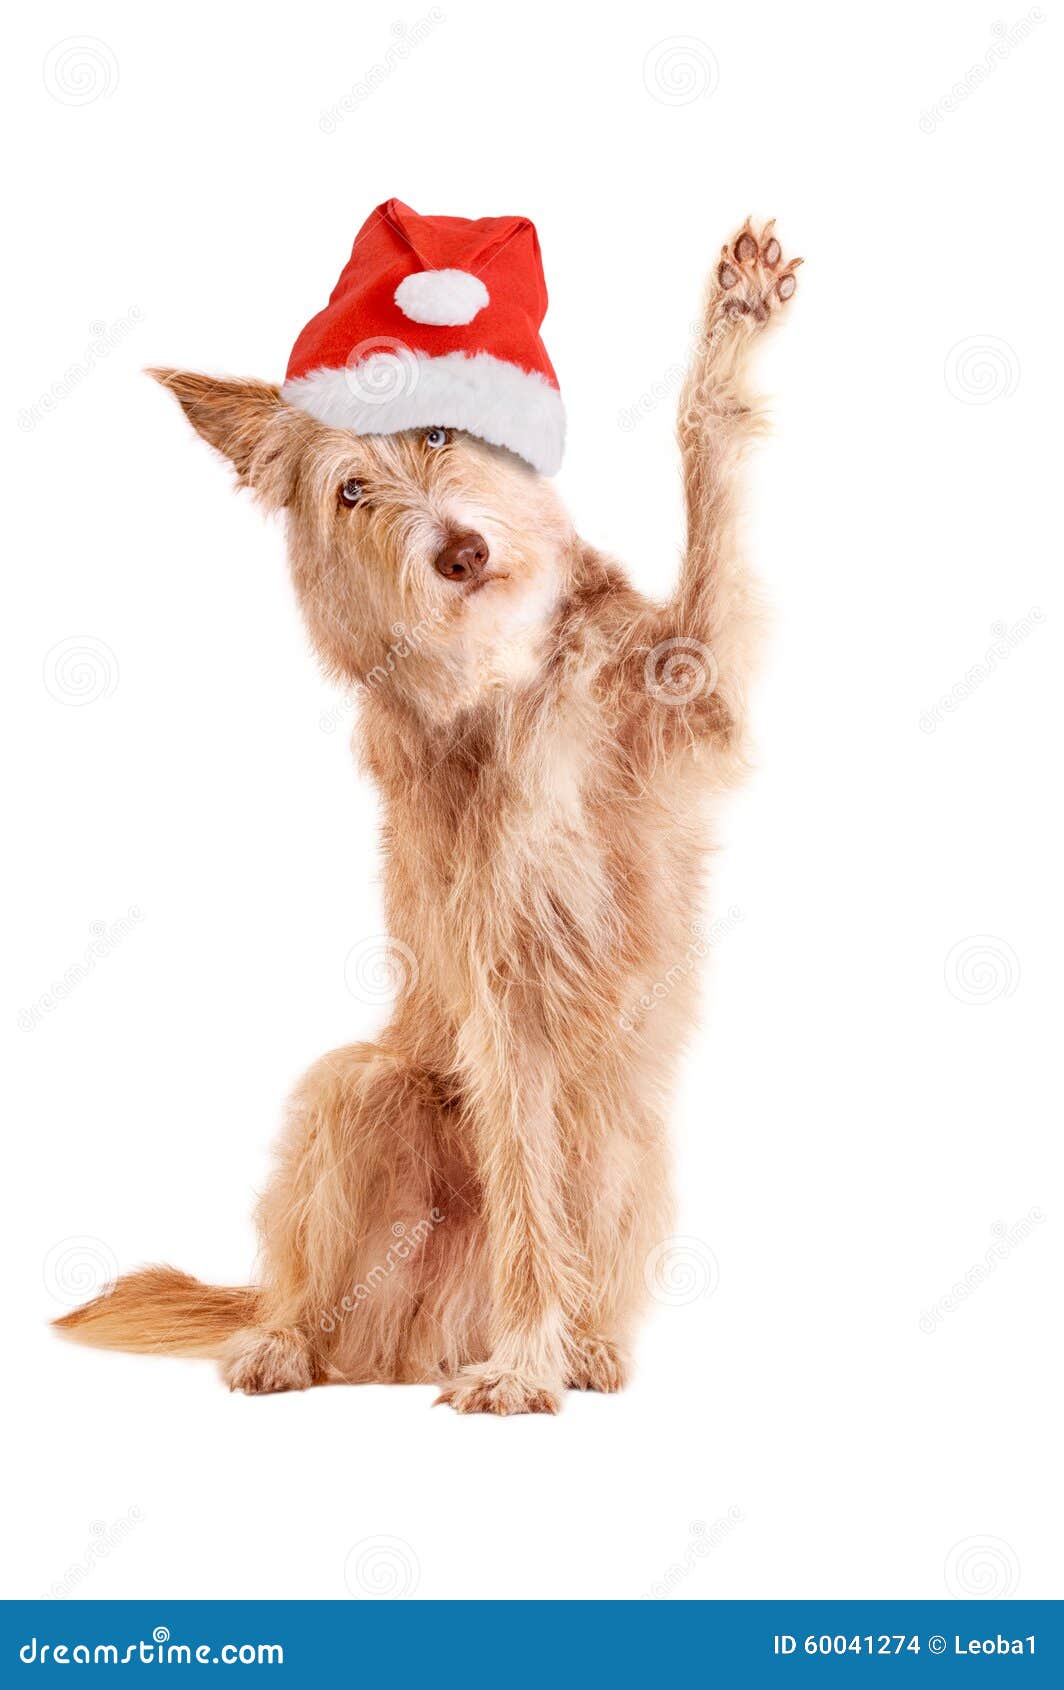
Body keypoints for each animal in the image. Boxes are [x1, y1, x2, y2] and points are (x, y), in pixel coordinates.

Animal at [52, 221, 800, 1412]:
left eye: (440, 430)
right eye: (353, 491)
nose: (460, 553)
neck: (519, 675)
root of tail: (415, 1340)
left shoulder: (700, 683)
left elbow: (707, 466)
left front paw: (732, 326)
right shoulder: (505, 988)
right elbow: (528, 1200)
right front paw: (524, 1363)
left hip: (632, 1135)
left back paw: (587, 1348)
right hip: (366, 1091)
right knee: (307, 1275)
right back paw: (286, 1346)